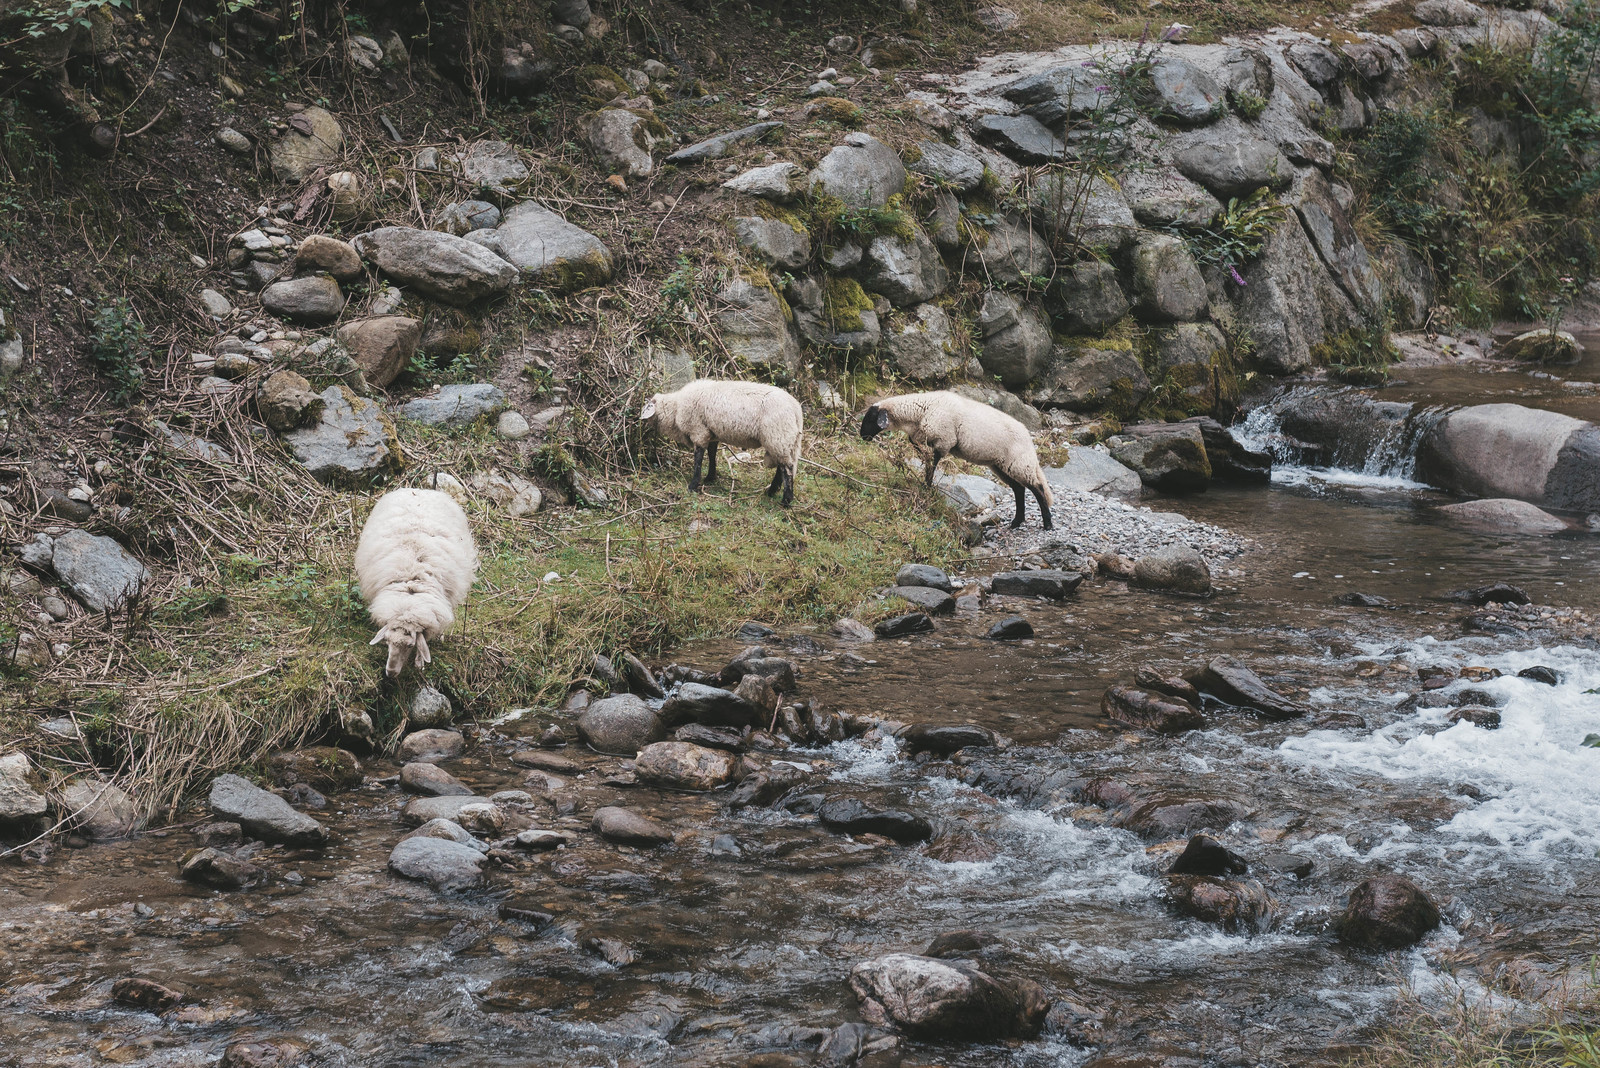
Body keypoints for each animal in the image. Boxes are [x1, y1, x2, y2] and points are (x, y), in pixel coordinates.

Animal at [350, 486, 473, 674]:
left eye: (409, 645)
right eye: (387, 641)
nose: (391, 673)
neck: (410, 590)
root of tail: (421, 490)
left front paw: (419, 662)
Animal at [643, 378, 806, 505]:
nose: (641, 426)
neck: (675, 409)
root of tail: (796, 409)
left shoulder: (699, 431)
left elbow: (698, 459)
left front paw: (693, 485)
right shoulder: (712, 434)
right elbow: (712, 455)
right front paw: (710, 477)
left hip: (777, 436)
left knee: (787, 468)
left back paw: (786, 500)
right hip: (783, 440)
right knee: (782, 466)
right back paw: (772, 491)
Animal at [857, 388, 1056, 530]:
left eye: (870, 418)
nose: (862, 436)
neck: (920, 410)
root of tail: (1028, 438)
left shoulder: (944, 440)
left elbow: (932, 465)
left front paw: (927, 486)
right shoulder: (927, 438)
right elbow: (918, 448)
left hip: (1019, 463)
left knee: (1037, 488)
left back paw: (1047, 524)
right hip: (1001, 465)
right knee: (1019, 489)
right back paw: (1016, 522)